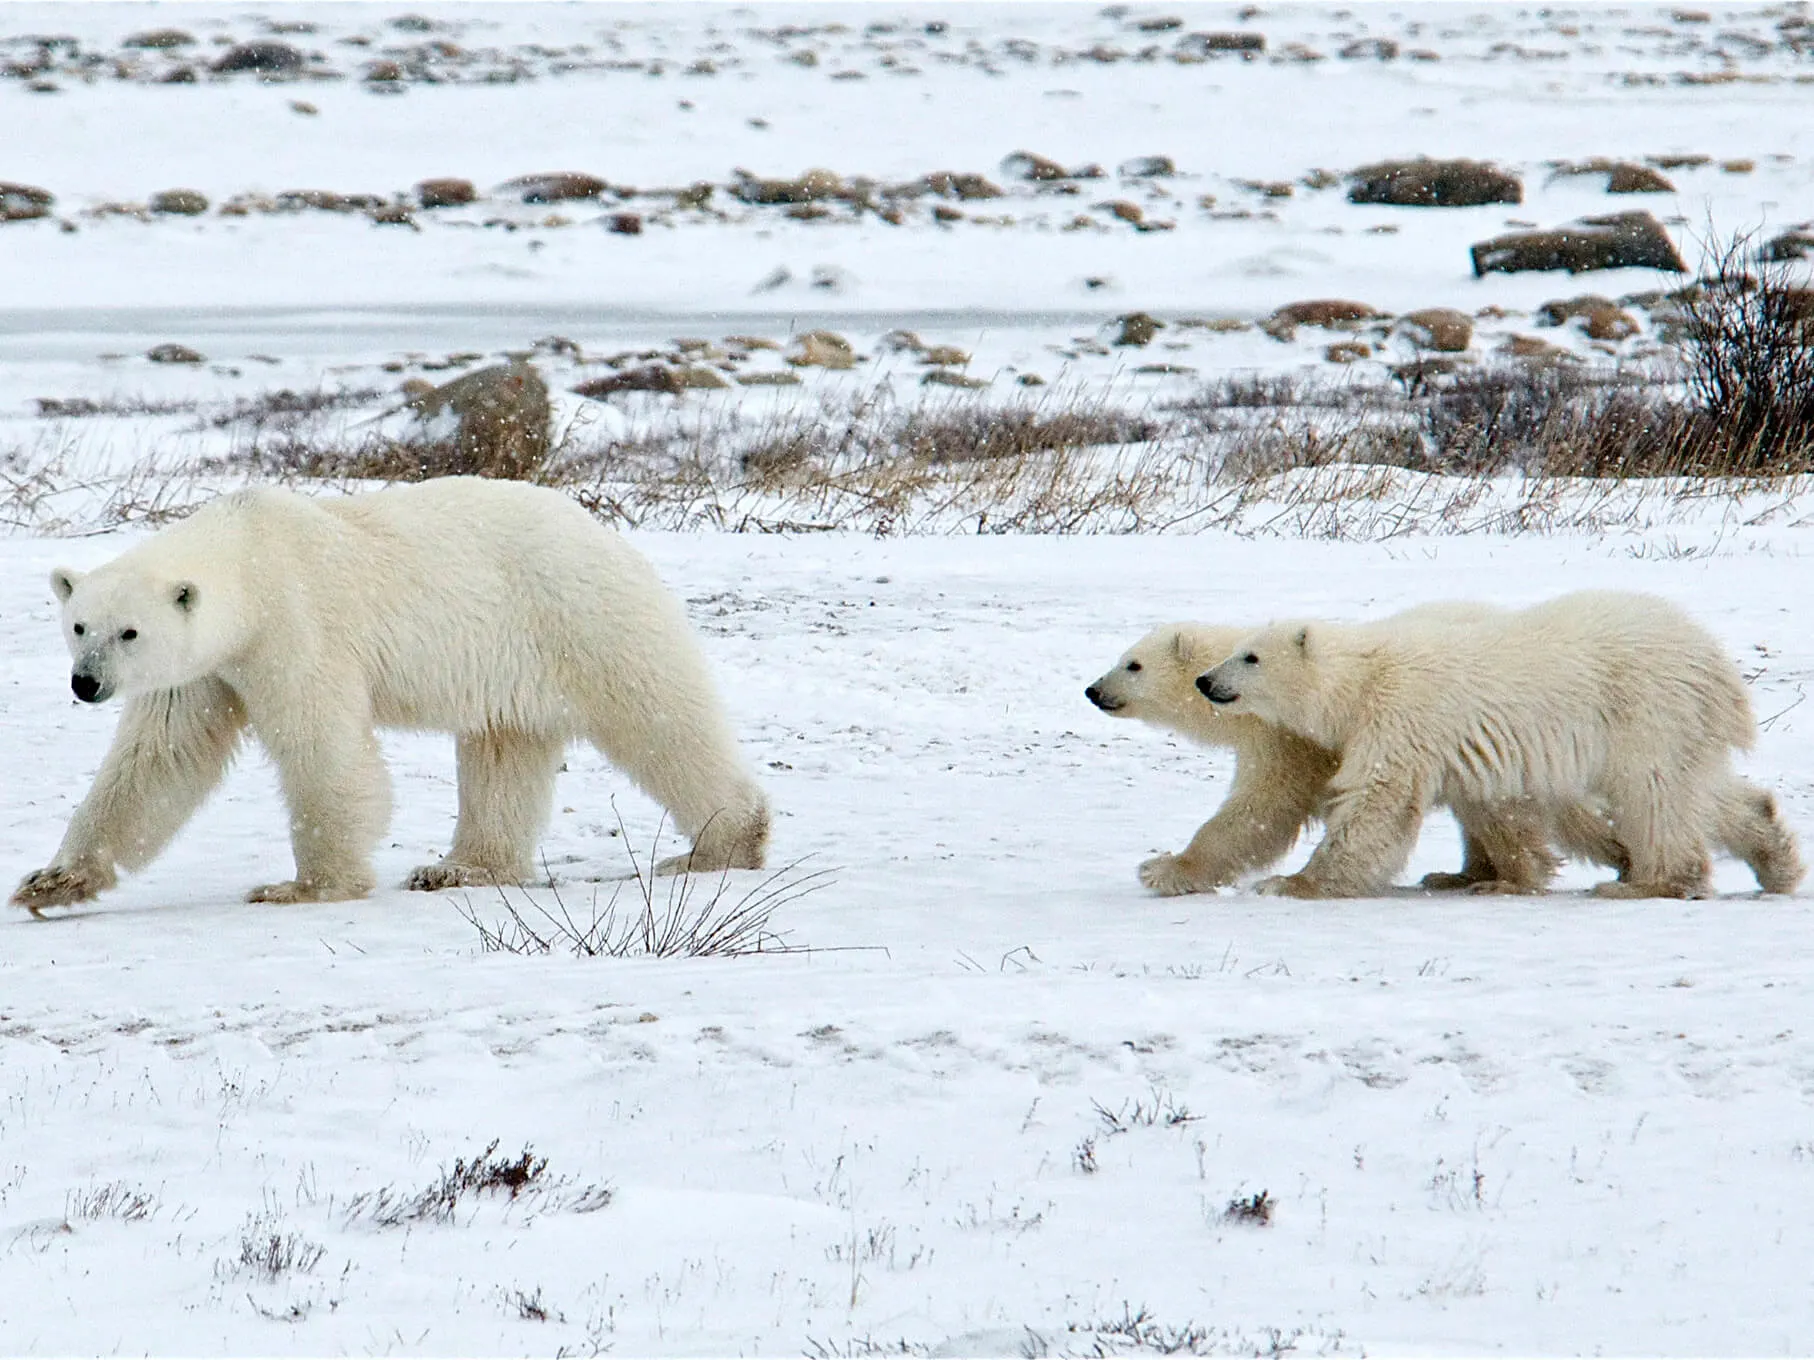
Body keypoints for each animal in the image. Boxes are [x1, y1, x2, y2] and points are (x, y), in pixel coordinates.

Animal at [14, 478, 765, 917]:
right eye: (79, 624)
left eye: (129, 631)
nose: (86, 683)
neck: (249, 555)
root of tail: (599, 530)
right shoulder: (205, 667)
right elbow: (158, 761)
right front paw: (52, 882)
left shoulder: (295, 625)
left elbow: (324, 748)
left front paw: (304, 886)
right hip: (513, 662)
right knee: (503, 750)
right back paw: (460, 869)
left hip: (578, 617)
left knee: (657, 717)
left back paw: (720, 844)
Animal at [1204, 591, 1799, 899]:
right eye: (1237, 648)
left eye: (1250, 656)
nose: (1205, 681)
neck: (1364, 676)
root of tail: (1715, 661)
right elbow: (1498, 803)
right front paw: (1481, 876)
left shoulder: (1402, 716)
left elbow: (1379, 799)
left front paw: (1293, 882)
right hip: (1680, 721)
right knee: (1697, 787)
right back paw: (1777, 861)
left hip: (1646, 707)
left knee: (1653, 790)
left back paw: (1650, 883)